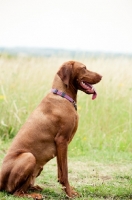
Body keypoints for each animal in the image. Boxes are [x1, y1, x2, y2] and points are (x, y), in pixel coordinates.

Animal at [0, 60, 102, 198]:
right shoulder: (62, 140)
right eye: (84, 68)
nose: (101, 76)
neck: (62, 96)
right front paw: (69, 193)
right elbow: (65, 172)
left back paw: (35, 188)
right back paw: (34, 195)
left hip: (37, 167)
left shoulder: (61, 145)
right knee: (16, 193)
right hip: (29, 157)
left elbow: (60, 171)